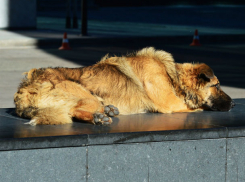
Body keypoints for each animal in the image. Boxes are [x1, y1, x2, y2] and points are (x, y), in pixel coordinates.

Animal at [14, 47, 234, 125]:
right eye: (217, 85)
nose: (233, 105)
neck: (172, 76)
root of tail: (24, 88)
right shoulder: (172, 104)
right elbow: (198, 108)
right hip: (85, 94)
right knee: (73, 110)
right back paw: (98, 117)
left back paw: (107, 111)